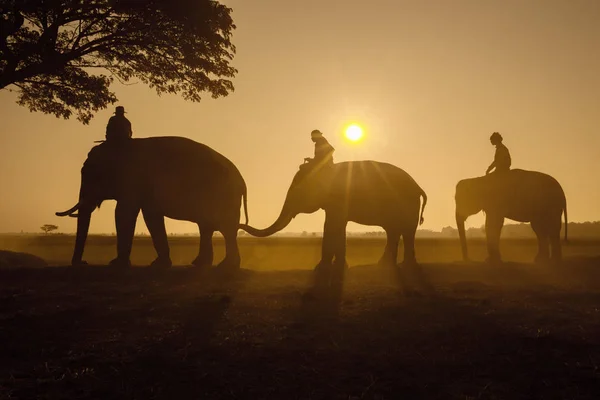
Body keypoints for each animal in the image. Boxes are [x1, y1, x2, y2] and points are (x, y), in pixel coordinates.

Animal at [54, 137, 246, 268]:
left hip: (224, 196)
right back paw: (200, 264)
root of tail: (242, 180)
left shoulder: (134, 179)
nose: (82, 263)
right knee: (207, 227)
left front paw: (116, 264)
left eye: (92, 175)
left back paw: (226, 266)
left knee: (225, 228)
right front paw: (159, 264)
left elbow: (124, 212)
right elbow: (151, 216)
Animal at [238, 162, 426, 268]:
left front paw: (324, 267)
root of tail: (418, 187)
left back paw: (405, 265)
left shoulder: (339, 198)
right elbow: (335, 225)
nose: (240, 224)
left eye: (299, 192)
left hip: (408, 203)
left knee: (406, 231)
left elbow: (332, 224)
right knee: (394, 231)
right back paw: (386, 265)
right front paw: (336, 266)